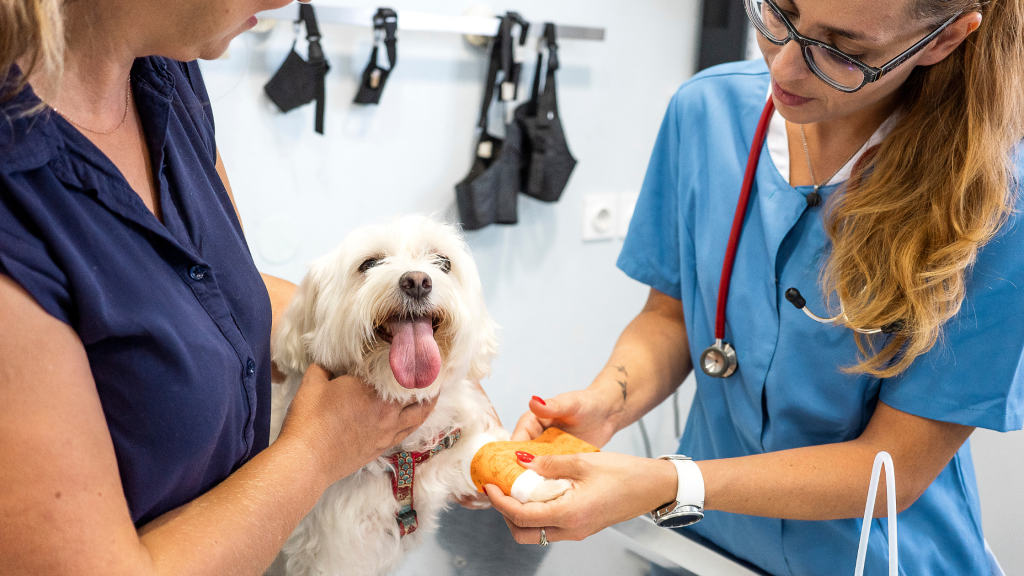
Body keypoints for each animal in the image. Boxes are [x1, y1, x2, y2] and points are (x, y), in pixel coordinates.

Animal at [268, 215, 565, 573]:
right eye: (369, 264)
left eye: (443, 262)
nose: (417, 281)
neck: (404, 458)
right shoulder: (337, 552)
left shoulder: (443, 449)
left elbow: (480, 453)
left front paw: (541, 485)